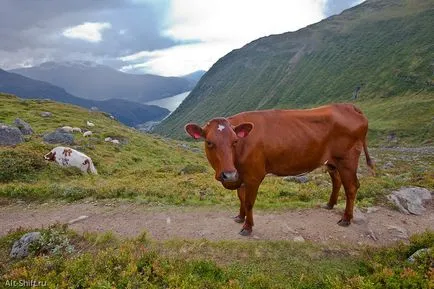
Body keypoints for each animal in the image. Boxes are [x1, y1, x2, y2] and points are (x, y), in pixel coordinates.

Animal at [185, 103, 374, 234]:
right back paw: (329, 205)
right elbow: (241, 197)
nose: (228, 175)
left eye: (235, 141)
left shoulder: (253, 175)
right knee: (337, 181)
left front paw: (248, 227)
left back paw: (346, 219)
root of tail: (348, 106)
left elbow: (249, 202)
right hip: (332, 162)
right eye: (209, 142)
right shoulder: (241, 175)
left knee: (351, 187)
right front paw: (239, 217)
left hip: (347, 159)